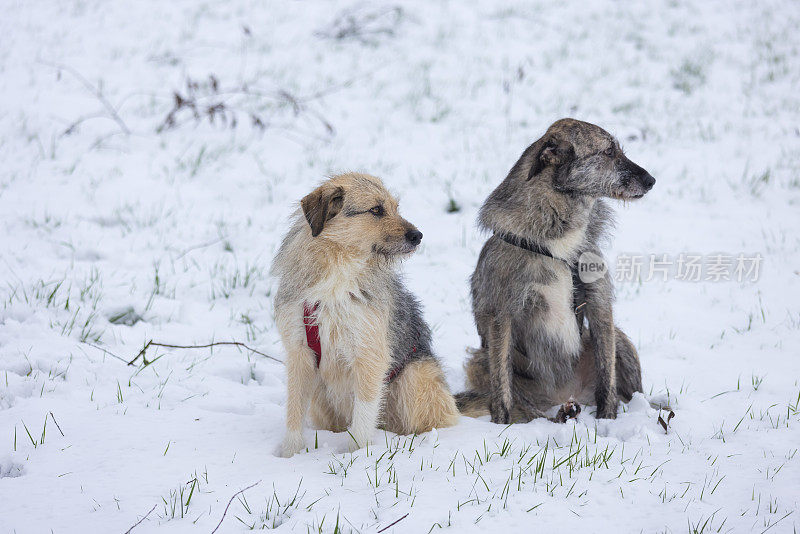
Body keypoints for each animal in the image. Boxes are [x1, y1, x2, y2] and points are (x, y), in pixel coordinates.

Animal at [272, 174, 456, 458]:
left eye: (395, 207)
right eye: (376, 210)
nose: (418, 236)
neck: (338, 268)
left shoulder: (369, 352)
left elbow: (365, 409)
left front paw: (356, 455)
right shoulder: (299, 351)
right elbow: (293, 409)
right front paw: (290, 454)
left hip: (414, 379)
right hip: (321, 398)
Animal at [456, 119, 656, 426]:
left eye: (618, 149)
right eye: (608, 152)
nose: (651, 180)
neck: (558, 239)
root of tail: (563, 395)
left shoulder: (599, 305)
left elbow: (607, 378)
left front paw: (607, 419)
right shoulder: (502, 314)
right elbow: (502, 391)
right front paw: (500, 426)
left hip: (620, 340)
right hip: (481, 360)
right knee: (524, 406)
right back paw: (556, 416)